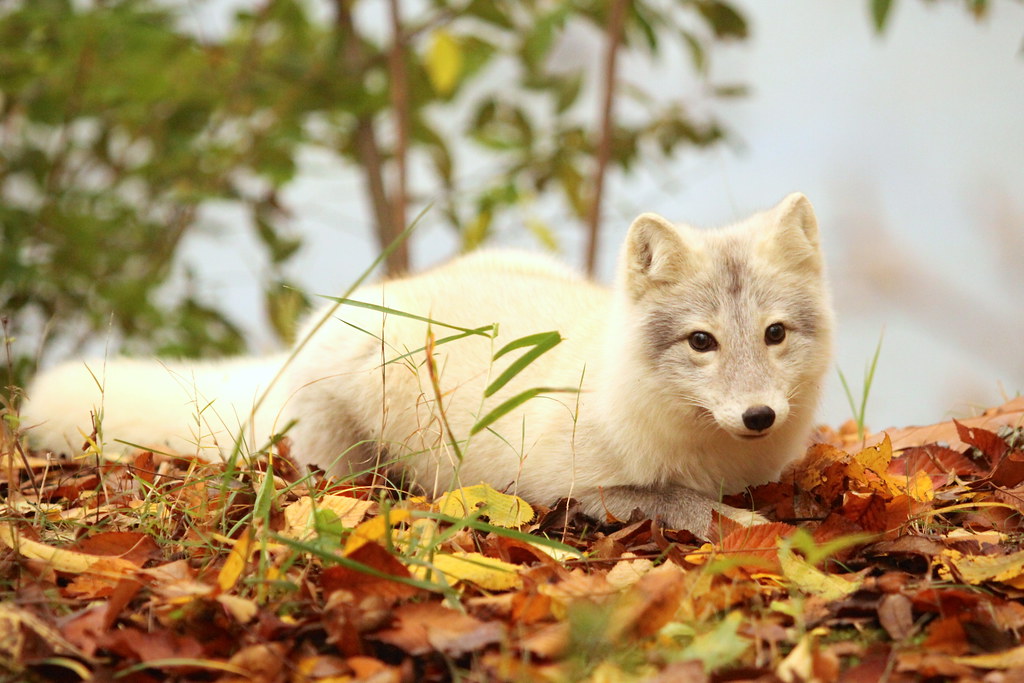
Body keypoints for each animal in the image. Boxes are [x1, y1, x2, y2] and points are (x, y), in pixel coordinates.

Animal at [20, 193, 834, 538]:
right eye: (701, 342)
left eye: (774, 334)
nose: (759, 415)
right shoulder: (575, 488)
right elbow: (689, 506)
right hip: (352, 443)